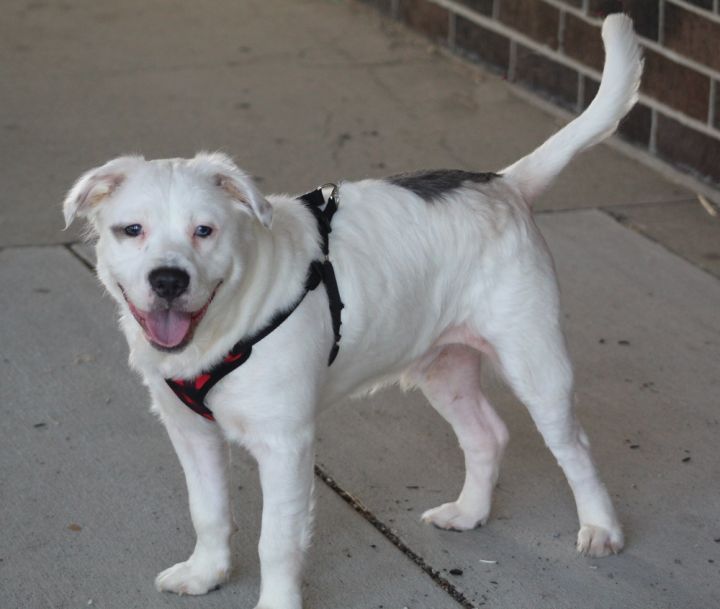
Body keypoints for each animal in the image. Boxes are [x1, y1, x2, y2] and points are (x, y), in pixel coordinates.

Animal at [63, 15, 640, 608]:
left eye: (205, 231)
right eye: (132, 230)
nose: (168, 280)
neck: (221, 326)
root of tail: (505, 184)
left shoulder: (285, 444)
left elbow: (277, 540)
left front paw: (275, 602)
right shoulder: (190, 433)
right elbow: (208, 512)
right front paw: (206, 574)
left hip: (536, 363)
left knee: (574, 447)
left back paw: (601, 528)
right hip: (444, 366)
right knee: (487, 434)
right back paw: (470, 512)